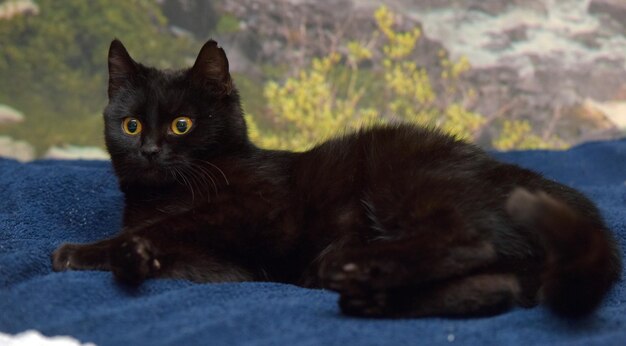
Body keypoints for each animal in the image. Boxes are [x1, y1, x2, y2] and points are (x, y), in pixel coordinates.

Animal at [52, 39, 620, 318]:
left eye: (181, 125)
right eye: (130, 125)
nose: (149, 150)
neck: (165, 195)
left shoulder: (256, 209)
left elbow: (169, 226)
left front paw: (77, 252)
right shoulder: (228, 268)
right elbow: (173, 250)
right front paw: (132, 256)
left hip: (405, 179)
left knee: (469, 240)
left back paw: (352, 266)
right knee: (499, 286)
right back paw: (368, 295)